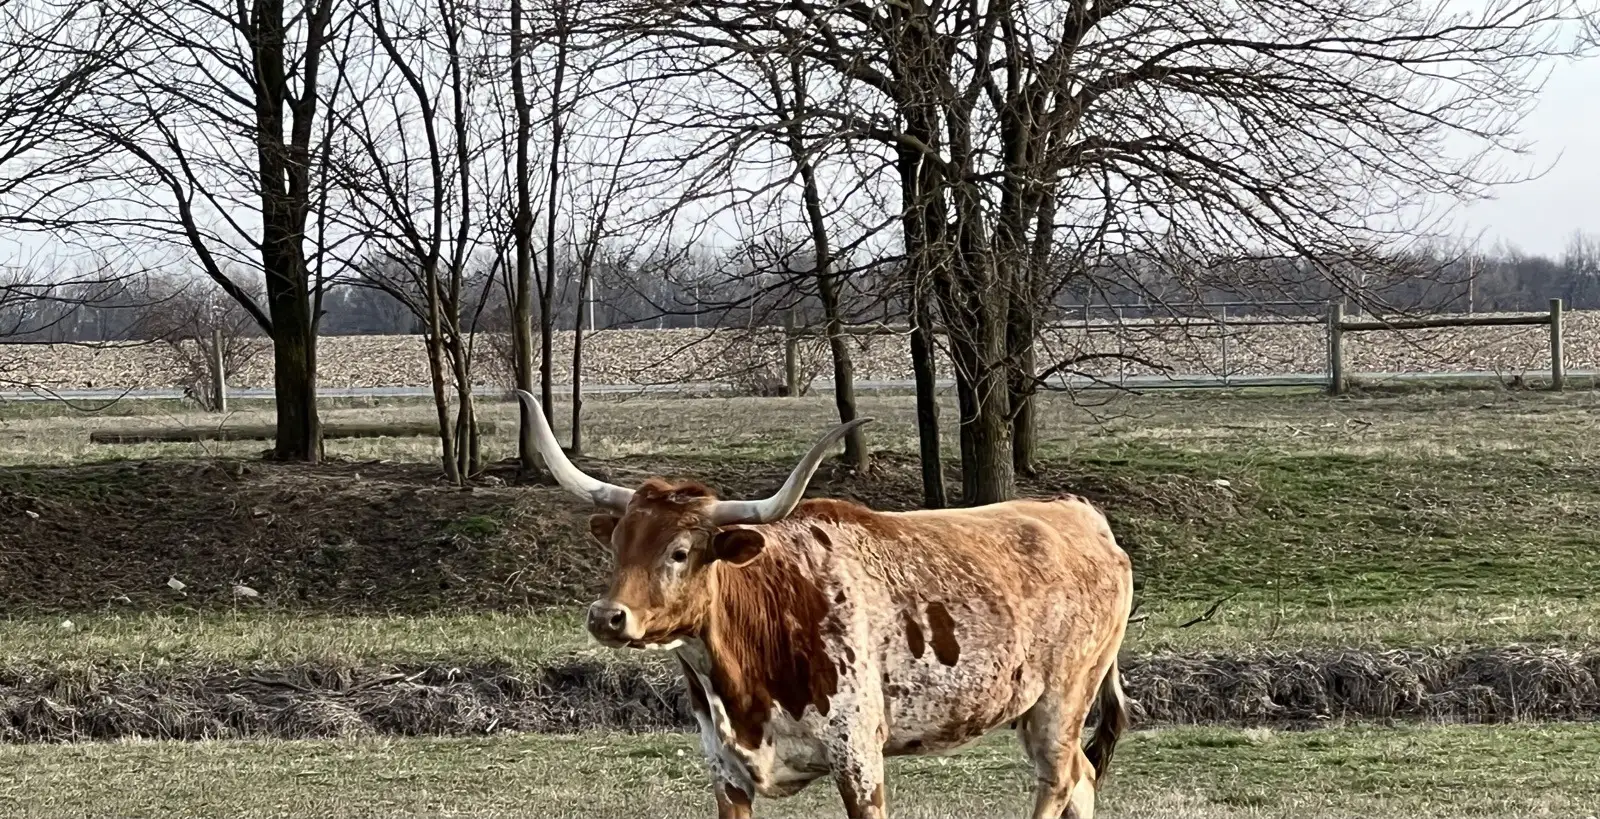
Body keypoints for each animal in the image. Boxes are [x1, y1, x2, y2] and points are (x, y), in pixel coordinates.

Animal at [515, 390, 1133, 819]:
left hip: (1060, 704)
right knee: (1082, 779)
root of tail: (1079, 511)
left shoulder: (858, 759)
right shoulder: (725, 771)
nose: (607, 617)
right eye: (619, 544)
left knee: (1061, 780)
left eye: (681, 551)